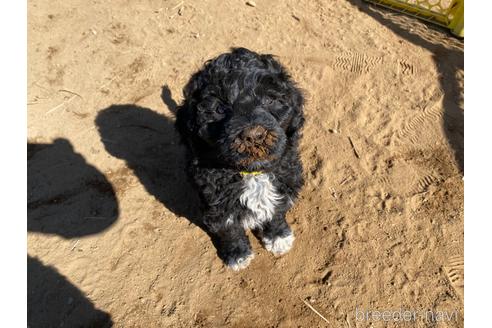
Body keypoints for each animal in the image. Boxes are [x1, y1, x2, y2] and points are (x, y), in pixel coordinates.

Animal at [175, 48, 306, 270]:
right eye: (219, 109)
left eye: (270, 100)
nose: (254, 135)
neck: (253, 173)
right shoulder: (217, 204)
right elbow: (229, 229)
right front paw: (237, 254)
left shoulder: (285, 183)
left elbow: (277, 212)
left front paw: (278, 237)